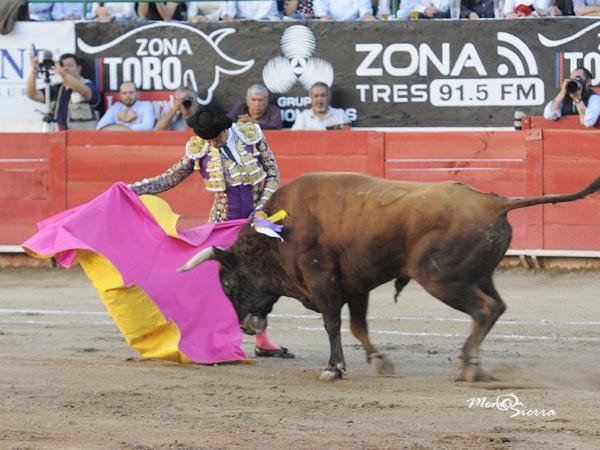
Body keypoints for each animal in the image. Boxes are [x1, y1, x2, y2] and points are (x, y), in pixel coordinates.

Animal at [178, 171, 600, 380]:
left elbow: (332, 324)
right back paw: (472, 364)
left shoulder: (323, 280)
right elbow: (358, 326)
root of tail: (492, 201)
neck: (282, 231)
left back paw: (467, 365)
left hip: (442, 279)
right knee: (496, 306)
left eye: (228, 283)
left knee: (484, 310)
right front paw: (379, 360)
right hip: (479, 275)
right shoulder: (356, 285)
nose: (245, 328)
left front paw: (333, 368)